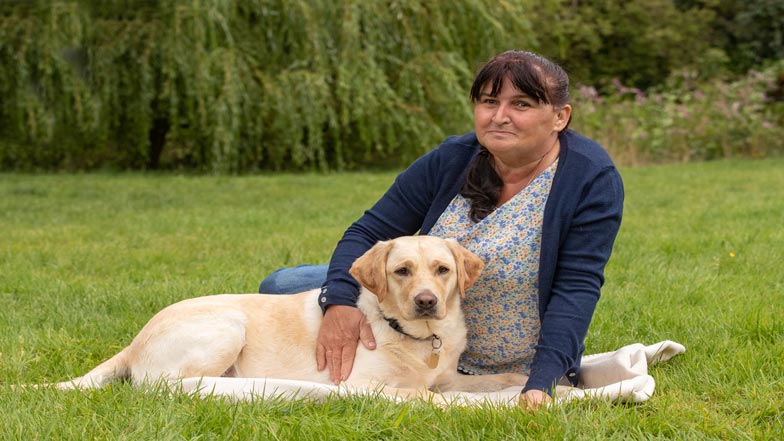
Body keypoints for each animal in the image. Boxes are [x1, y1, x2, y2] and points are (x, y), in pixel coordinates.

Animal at [49, 236, 529, 397]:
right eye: (402, 271)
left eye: (442, 270)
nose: (427, 301)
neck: (421, 336)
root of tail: (134, 340)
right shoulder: (361, 384)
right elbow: (422, 395)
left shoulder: (446, 376)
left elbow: (493, 380)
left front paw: (522, 381)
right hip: (228, 326)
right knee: (164, 386)